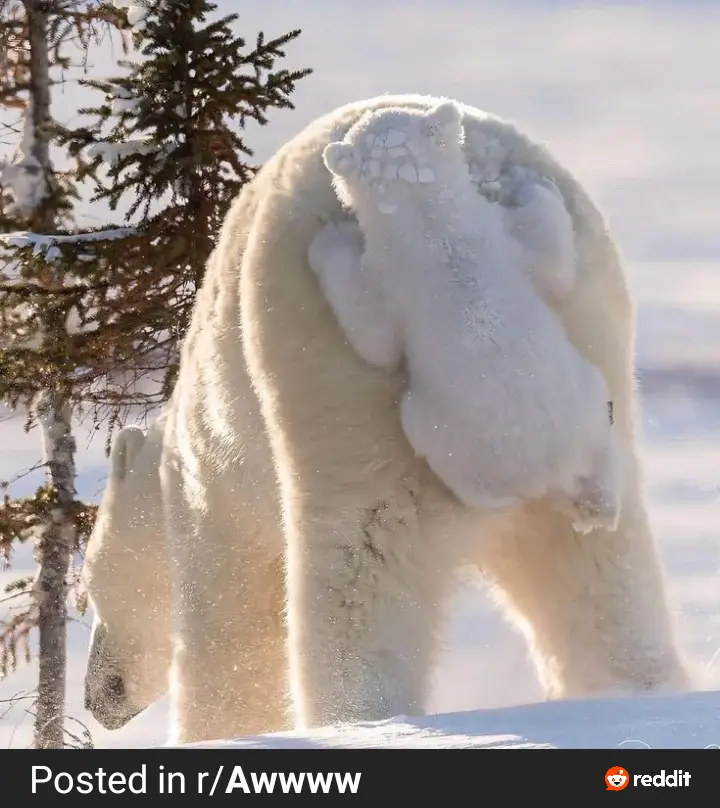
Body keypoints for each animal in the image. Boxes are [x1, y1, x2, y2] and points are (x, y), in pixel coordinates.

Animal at [310, 100, 621, 532]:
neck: (433, 224)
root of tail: (548, 471)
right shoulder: (494, 240)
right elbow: (552, 259)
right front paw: (529, 183)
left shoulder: (401, 273)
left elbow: (376, 341)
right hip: (573, 410)